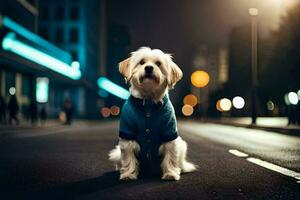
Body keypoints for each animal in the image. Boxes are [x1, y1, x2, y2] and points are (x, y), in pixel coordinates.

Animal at [108, 47, 197, 181]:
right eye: (141, 62)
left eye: (158, 64)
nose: (149, 68)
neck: (148, 102)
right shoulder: (127, 136)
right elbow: (128, 158)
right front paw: (128, 174)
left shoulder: (169, 134)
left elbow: (171, 157)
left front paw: (170, 173)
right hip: (116, 153)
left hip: (181, 145)